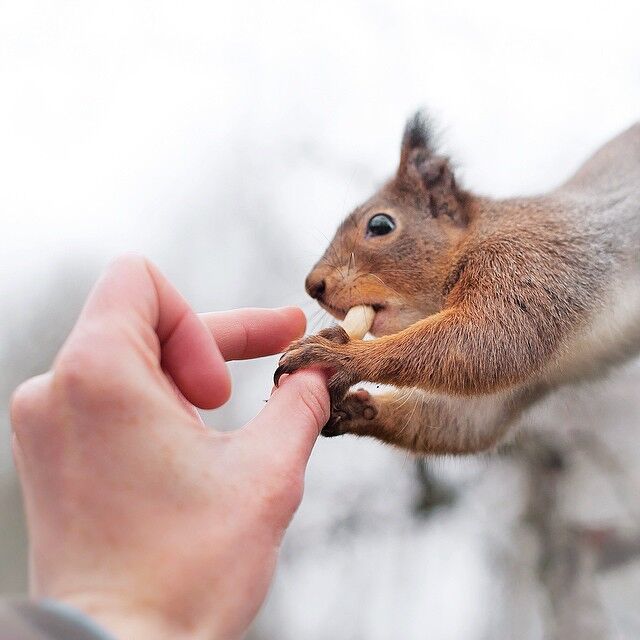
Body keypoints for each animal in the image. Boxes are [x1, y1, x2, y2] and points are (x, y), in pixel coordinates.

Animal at [274, 115, 640, 456]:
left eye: (380, 225)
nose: (314, 286)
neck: (477, 238)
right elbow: (464, 420)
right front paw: (353, 408)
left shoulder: (535, 262)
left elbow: (493, 337)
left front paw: (338, 354)